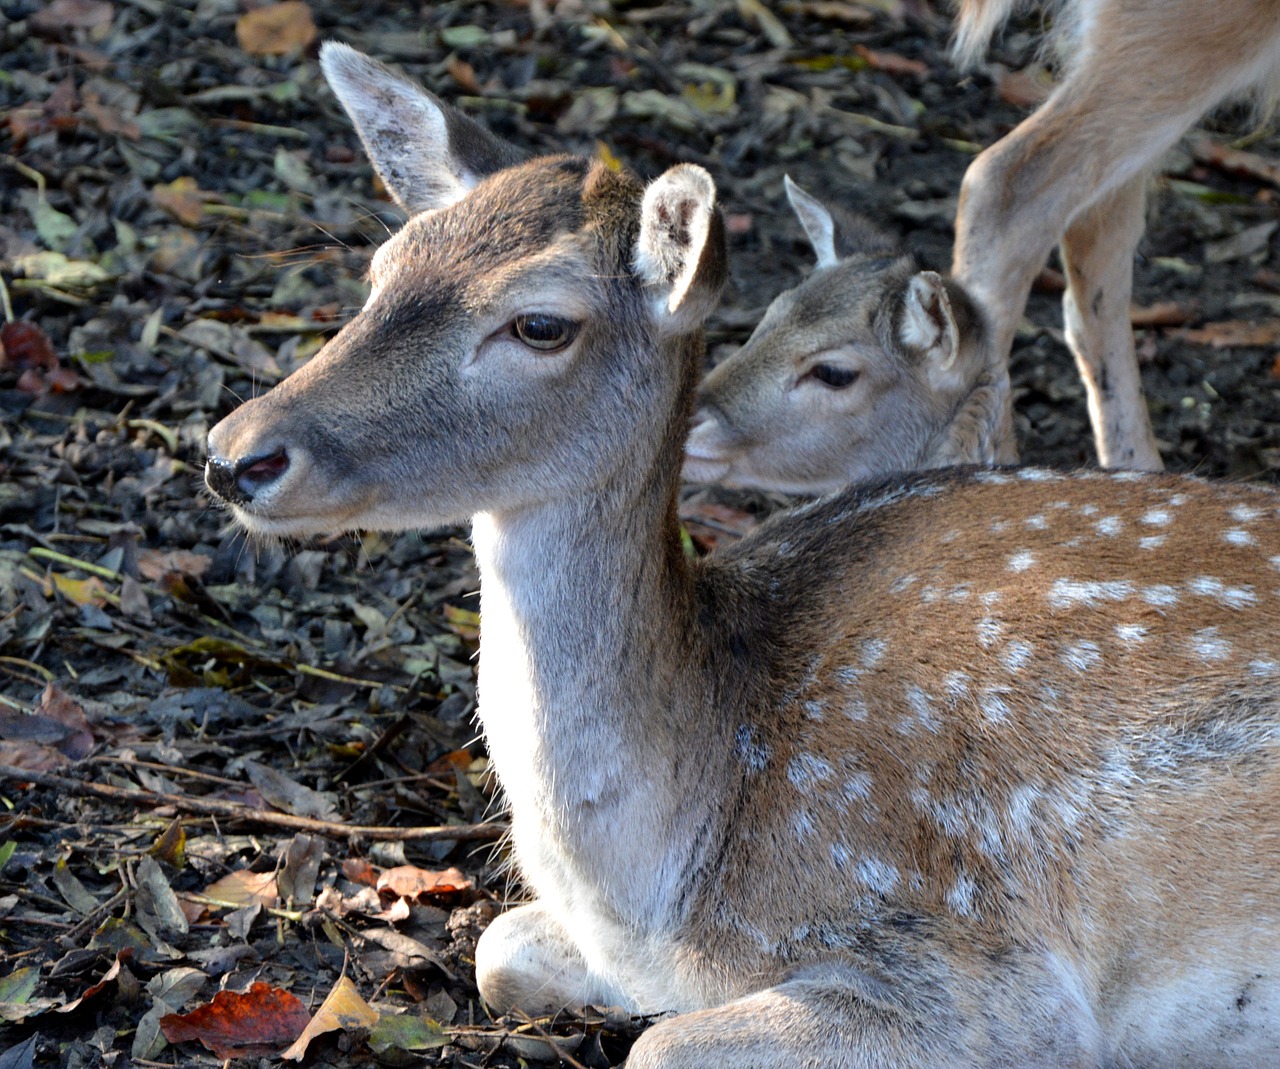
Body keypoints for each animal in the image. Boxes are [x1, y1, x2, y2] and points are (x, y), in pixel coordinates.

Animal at [204, 43, 1280, 1069]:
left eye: (540, 322)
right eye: (383, 268)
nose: (234, 452)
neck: (662, 884)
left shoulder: (987, 970)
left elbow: (657, 1043)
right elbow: (498, 948)